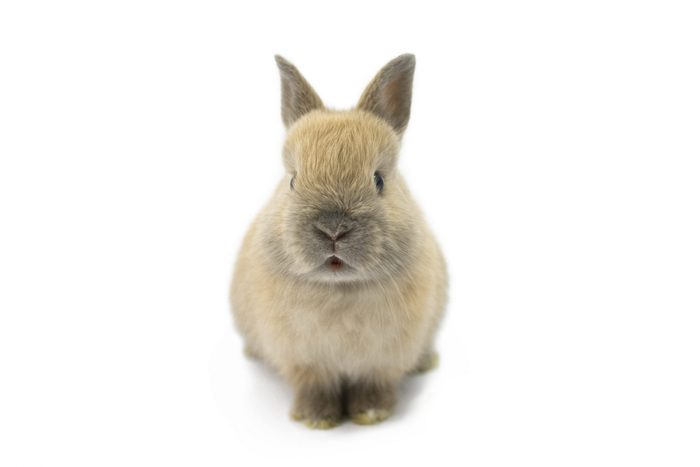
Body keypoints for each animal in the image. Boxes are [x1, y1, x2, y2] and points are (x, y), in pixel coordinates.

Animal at [230, 54, 448, 429]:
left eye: (379, 180)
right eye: (293, 181)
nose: (333, 230)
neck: (340, 289)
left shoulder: (383, 361)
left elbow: (373, 385)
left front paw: (371, 413)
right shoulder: (305, 361)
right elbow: (315, 386)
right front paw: (316, 419)